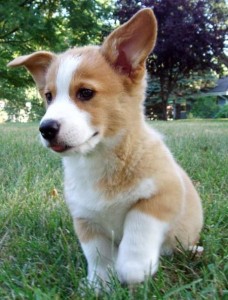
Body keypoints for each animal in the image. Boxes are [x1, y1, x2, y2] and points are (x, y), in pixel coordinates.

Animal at [8, 8, 203, 288]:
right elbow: (97, 254)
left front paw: (133, 268)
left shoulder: (163, 195)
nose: (45, 128)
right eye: (49, 96)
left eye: (85, 93)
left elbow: (138, 227)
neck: (98, 159)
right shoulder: (85, 219)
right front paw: (100, 284)